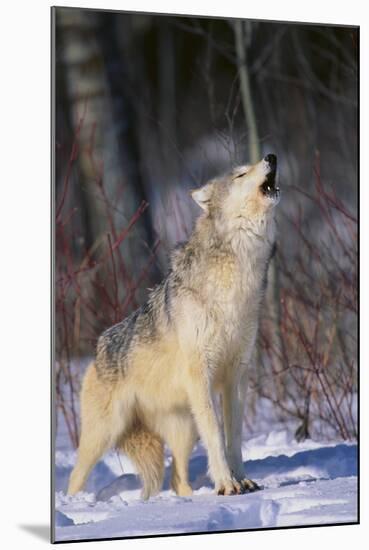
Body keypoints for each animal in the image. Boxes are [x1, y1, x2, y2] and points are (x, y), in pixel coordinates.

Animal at [67, 154, 278, 500]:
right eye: (240, 174)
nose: (271, 157)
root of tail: (96, 350)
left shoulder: (237, 376)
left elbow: (233, 438)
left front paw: (242, 481)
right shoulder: (201, 375)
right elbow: (216, 435)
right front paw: (226, 484)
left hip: (183, 430)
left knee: (177, 480)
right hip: (103, 434)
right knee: (75, 475)